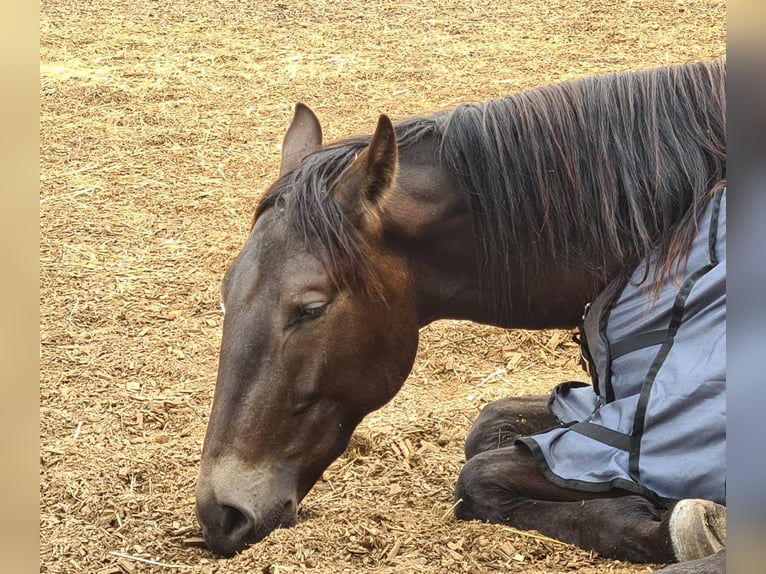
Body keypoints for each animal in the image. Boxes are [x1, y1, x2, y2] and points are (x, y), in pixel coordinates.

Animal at [195, 60, 728, 572]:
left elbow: (478, 475)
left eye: (311, 309)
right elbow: (487, 429)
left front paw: (668, 524)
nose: (220, 512)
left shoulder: (646, 436)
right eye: (225, 292)